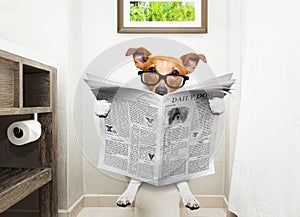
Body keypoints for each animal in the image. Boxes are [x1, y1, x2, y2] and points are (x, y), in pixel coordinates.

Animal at [95, 46, 224, 209]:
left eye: (175, 73)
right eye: (151, 69)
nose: (161, 92)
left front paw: (216, 104)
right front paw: (102, 107)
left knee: (180, 179)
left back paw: (189, 197)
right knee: (137, 177)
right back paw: (128, 194)